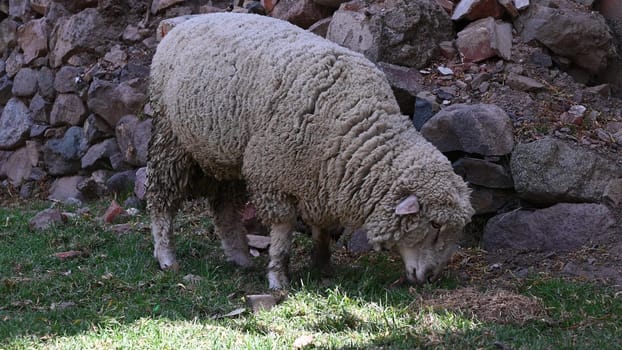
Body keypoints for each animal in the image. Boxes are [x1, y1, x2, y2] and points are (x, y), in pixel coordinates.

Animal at [147, 12, 478, 288]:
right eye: (434, 224)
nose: (431, 277)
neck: (355, 126)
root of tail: (186, 23)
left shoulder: (324, 178)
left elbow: (323, 227)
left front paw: (322, 265)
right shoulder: (274, 174)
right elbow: (282, 230)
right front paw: (278, 277)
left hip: (226, 152)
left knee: (224, 208)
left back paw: (240, 256)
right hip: (170, 137)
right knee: (161, 199)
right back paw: (166, 257)